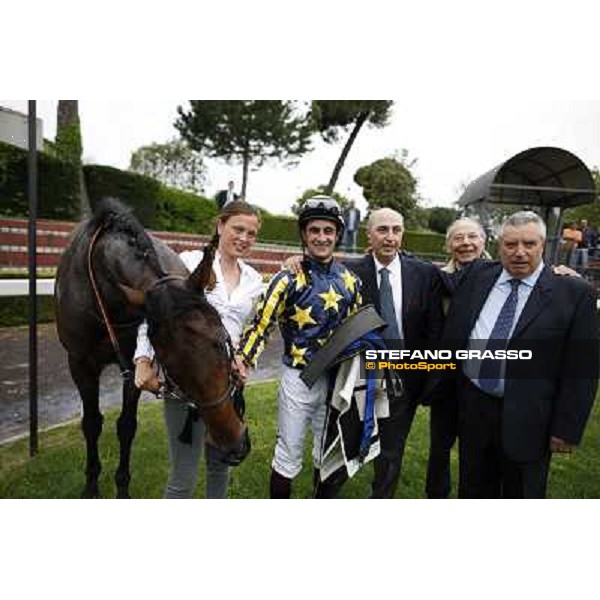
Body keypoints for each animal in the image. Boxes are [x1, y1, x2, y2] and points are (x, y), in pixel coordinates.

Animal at [56, 197, 251, 496]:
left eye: (221, 340)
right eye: (167, 362)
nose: (234, 444)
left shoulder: (129, 365)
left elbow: (126, 426)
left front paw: (122, 488)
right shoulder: (80, 363)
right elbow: (91, 423)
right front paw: (91, 487)